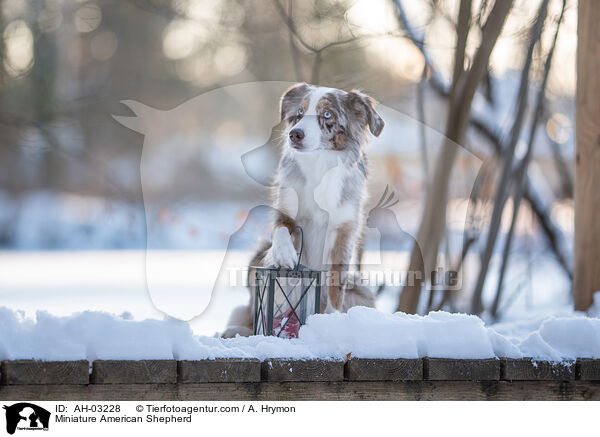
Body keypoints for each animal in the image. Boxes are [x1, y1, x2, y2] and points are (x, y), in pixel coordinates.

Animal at [224, 82, 384, 338]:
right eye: (299, 113)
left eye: (327, 114)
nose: (294, 134)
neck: (319, 163)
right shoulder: (286, 210)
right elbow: (281, 229)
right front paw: (286, 255)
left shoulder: (344, 230)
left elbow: (335, 283)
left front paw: (331, 318)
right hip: (256, 257)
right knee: (250, 316)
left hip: (360, 286)